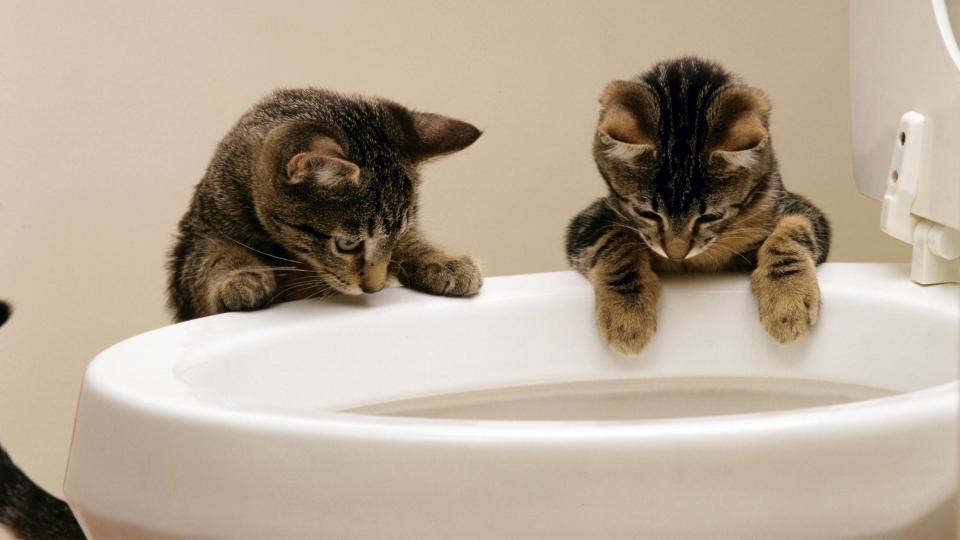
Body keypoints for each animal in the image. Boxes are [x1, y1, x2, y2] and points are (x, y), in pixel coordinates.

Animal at [169, 88, 484, 320]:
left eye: (398, 236)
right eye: (347, 244)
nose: (374, 288)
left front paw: (443, 260)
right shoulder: (199, 235)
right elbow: (215, 255)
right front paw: (239, 278)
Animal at [568, 59, 828, 354]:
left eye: (710, 217)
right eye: (647, 213)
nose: (676, 254)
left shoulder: (801, 209)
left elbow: (793, 230)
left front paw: (787, 299)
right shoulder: (587, 222)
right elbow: (615, 239)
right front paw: (627, 314)